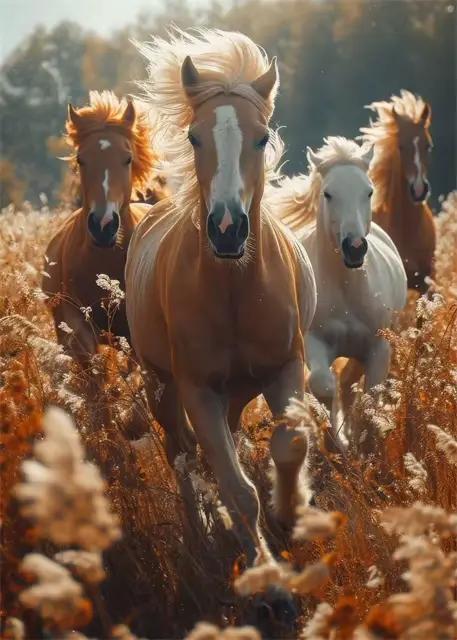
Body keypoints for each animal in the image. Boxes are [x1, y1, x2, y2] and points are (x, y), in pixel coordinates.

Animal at [127, 28, 317, 567]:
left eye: (261, 137)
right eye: (195, 137)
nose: (228, 228)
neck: (235, 289)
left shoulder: (285, 367)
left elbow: (290, 445)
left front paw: (288, 516)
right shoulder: (198, 390)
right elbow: (235, 486)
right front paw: (266, 573)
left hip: (237, 392)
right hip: (163, 387)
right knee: (182, 455)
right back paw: (202, 530)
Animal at [268, 137, 407, 450]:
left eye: (369, 191)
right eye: (328, 194)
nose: (354, 247)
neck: (346, 290)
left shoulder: (379, 347)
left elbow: (371, 397)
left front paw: (365, 447)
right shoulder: (314, 341)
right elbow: (323, 385)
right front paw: (338, 444)